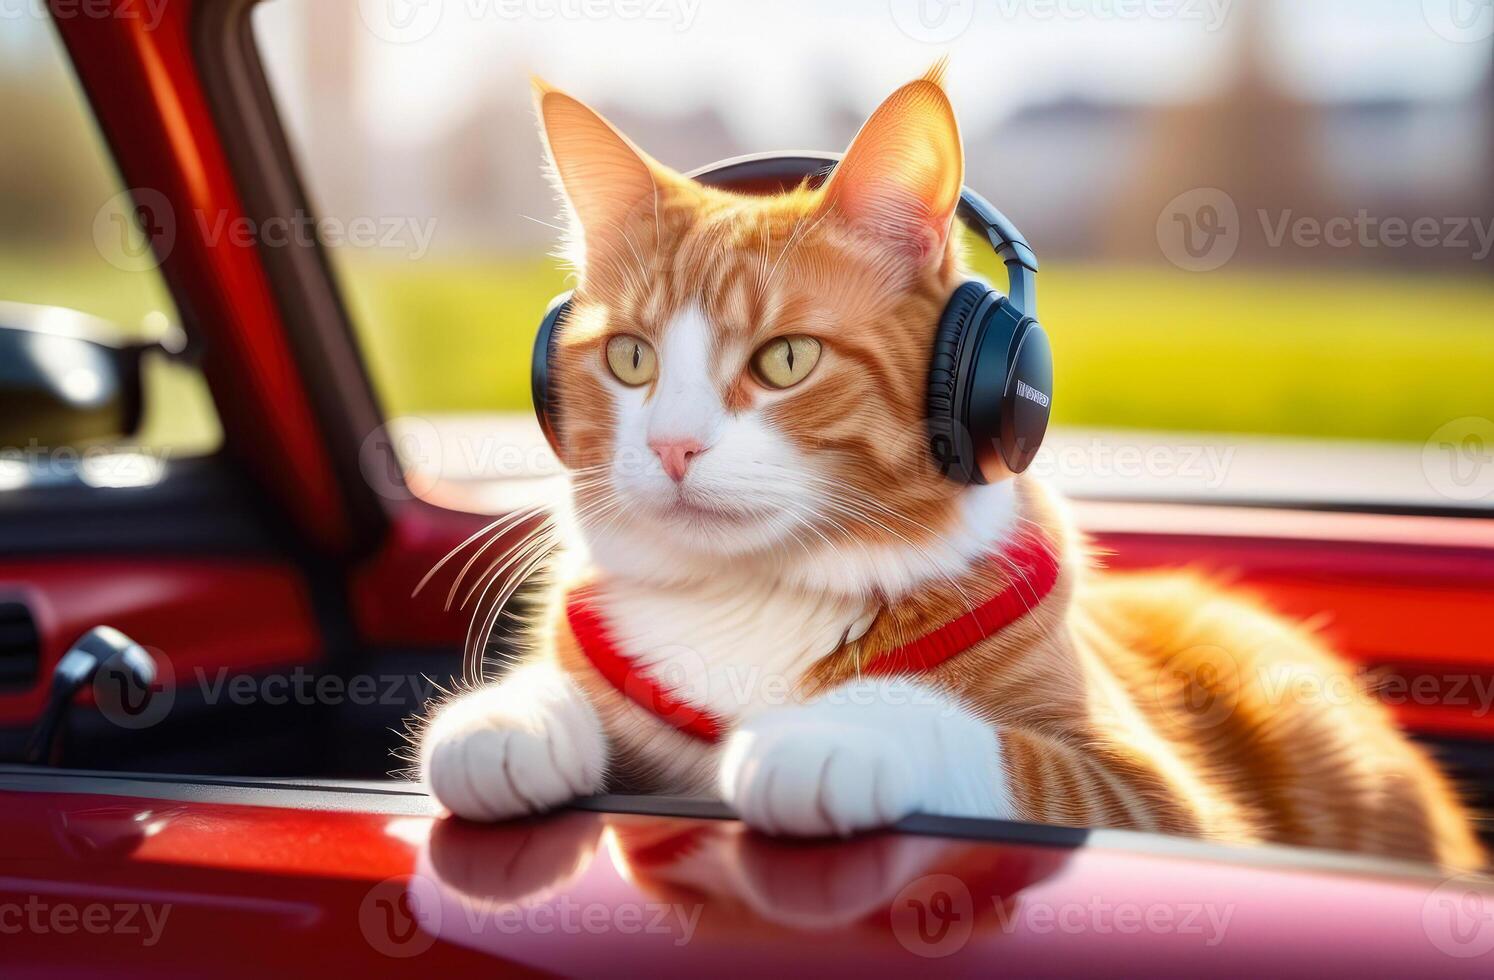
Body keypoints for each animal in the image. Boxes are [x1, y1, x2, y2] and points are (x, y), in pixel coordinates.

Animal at [418, 64, 1482, 866]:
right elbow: (558, 690)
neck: (758, 592)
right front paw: (510, 719)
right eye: (631, 360)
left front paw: (827, 734)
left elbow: (978, 738)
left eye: (786, 361)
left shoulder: (1156, 797)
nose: (672, 445)